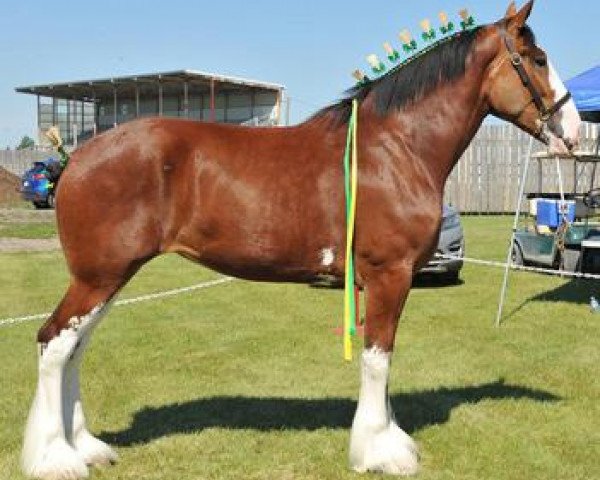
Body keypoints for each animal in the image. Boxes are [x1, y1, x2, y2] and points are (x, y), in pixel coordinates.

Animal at [23, 1, 580, 478]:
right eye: (537, 59)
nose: (573, 131)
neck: (396, 148)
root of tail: (76, 157)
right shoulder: (390, 274)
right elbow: (379, 358)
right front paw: (379, 452)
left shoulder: (381, 280)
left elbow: (381, 360)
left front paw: (388, 438)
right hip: (98, 276)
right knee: (54, 344)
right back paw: (56, 458)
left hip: (108, 277)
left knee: (75, 349)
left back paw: (86, 447)